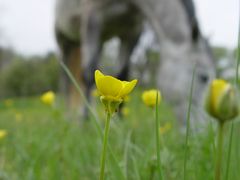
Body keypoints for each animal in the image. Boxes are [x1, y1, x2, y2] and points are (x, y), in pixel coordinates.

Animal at [54, 0, 216, 121]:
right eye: (204, 77)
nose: (203, 133)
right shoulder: (93, 18)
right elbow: (88, 75)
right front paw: (86, 123)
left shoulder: (132, 30)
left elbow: (122, 75)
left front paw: (120, 122)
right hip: (65, 39)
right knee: (65, 78)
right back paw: (69, 116)